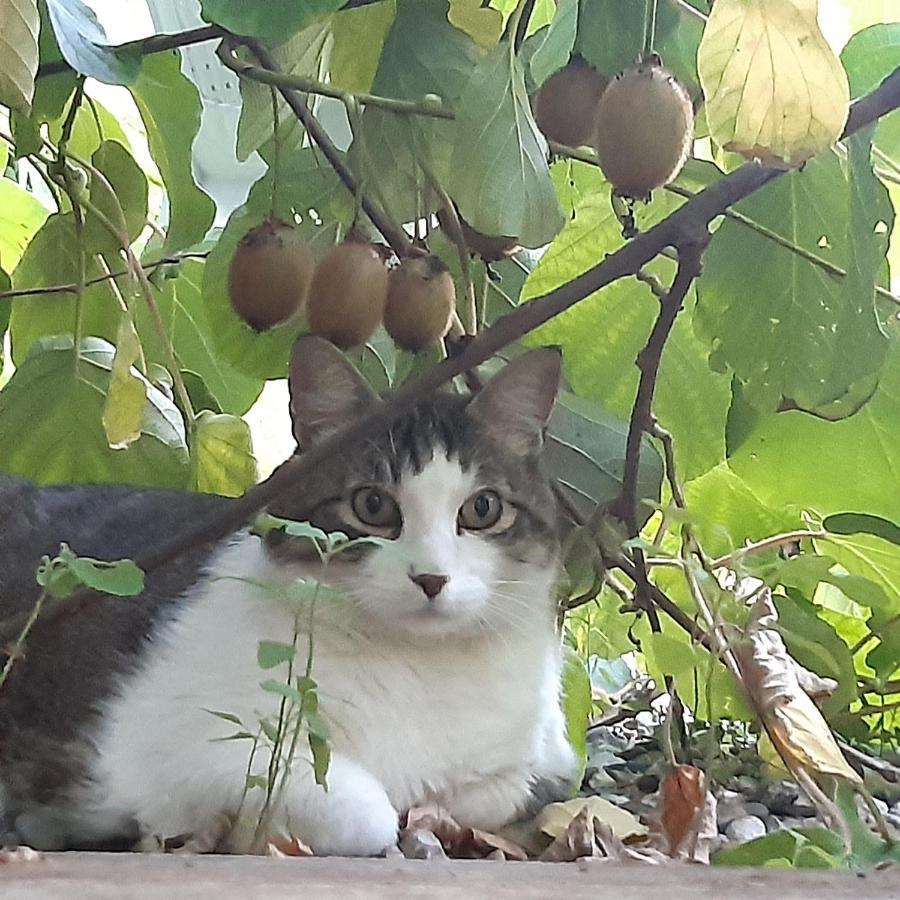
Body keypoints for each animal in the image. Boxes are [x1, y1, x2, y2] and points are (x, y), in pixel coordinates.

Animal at [0, 338, 576, 856]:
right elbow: (367, 812)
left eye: (482, 509)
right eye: (372, 505)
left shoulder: (546, 761)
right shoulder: (183, 748)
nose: (431, 578)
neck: (423, 669)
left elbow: (498, 791)